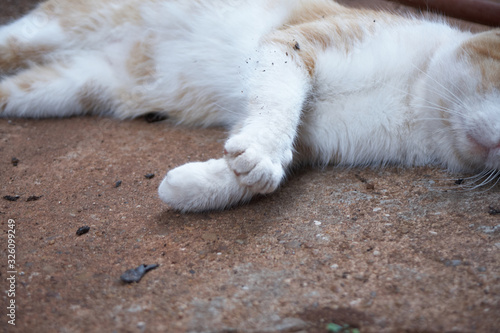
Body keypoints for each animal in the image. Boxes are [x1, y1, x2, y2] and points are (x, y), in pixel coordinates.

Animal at [0, 0, 500, 210]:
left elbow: (254, 173)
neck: (413, 100)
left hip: (68, 86)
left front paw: (188, 188)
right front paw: (260, 153)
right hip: (50, 31)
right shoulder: (294, 45)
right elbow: (277, 102)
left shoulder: (315, 140)